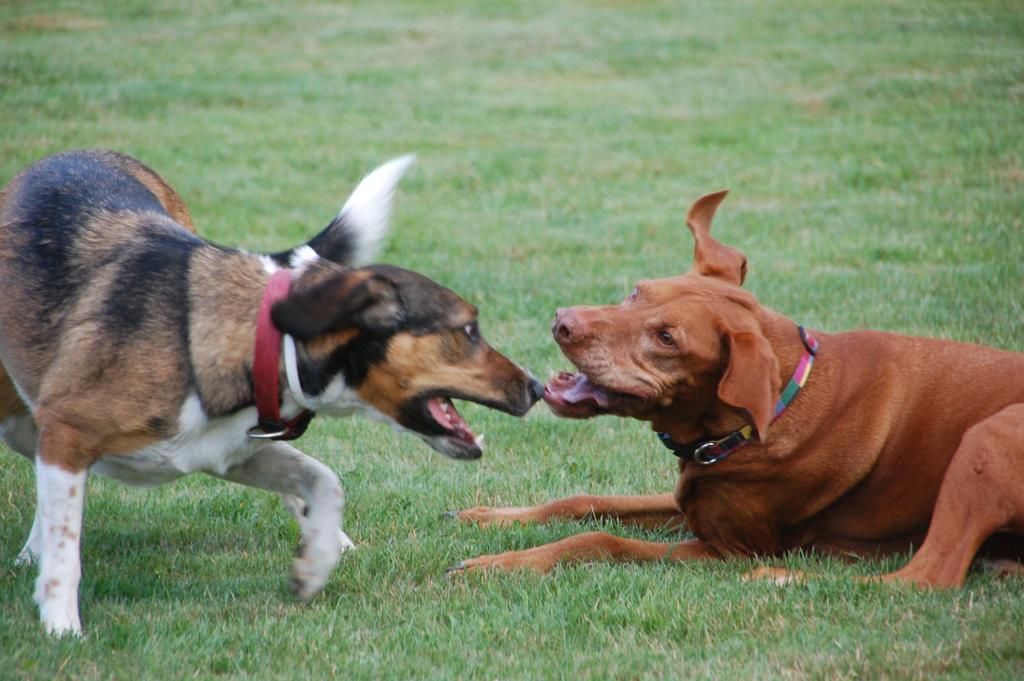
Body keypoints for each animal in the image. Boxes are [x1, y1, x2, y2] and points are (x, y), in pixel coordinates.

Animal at [2, 148, 544, 630]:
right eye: (468, 330)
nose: (538, 387)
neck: (263, 340)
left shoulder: (225, 451)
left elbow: (324, 480)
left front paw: (316, 565)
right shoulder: (67, 434)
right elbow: (65, 549)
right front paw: (62, 630)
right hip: (21, 418)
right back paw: (32, 556)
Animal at [450, 189, 1024, 585]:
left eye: (666, 338)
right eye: (637, 291)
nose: (563, 323)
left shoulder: (724, 550)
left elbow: (599, 539)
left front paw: (500, 564)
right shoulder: (687, 500)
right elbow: (582, 500)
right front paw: (490, 517)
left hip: (986, 439)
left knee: (926, 577)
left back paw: (780, 579)